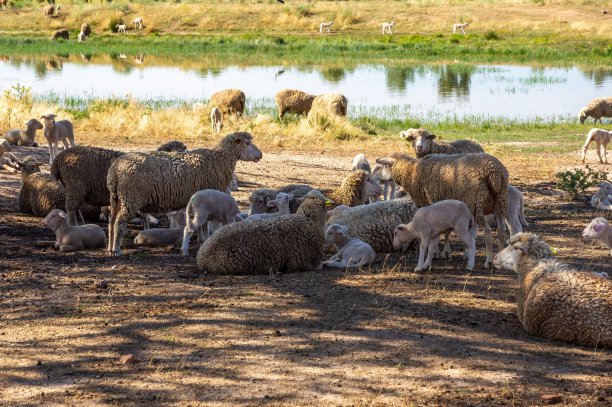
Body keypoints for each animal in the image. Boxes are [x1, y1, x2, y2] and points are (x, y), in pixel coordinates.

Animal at [107, 132, 260, 256]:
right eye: (247, 143)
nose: (260, 155)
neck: (219, 160)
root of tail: (115, 170)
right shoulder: (208, 196)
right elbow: (205, 224)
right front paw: (204, 238)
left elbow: (203, 224)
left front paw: (201, 238)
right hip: (131, 198)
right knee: (119, 222)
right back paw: (117, 250)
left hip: (117, 198)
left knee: (112, 221)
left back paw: (109, 247)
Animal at [378, 153, 512, 268]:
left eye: (385, 165)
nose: (380, 179)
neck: (412, 173)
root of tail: (494, 171)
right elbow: (446, 232)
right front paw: (446, 252)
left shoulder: (427, 203)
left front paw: (435, 252)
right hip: (500, 201)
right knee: (501, 230)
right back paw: (499, 256)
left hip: (475, 202)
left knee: (487, 231)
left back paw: (488, 261)